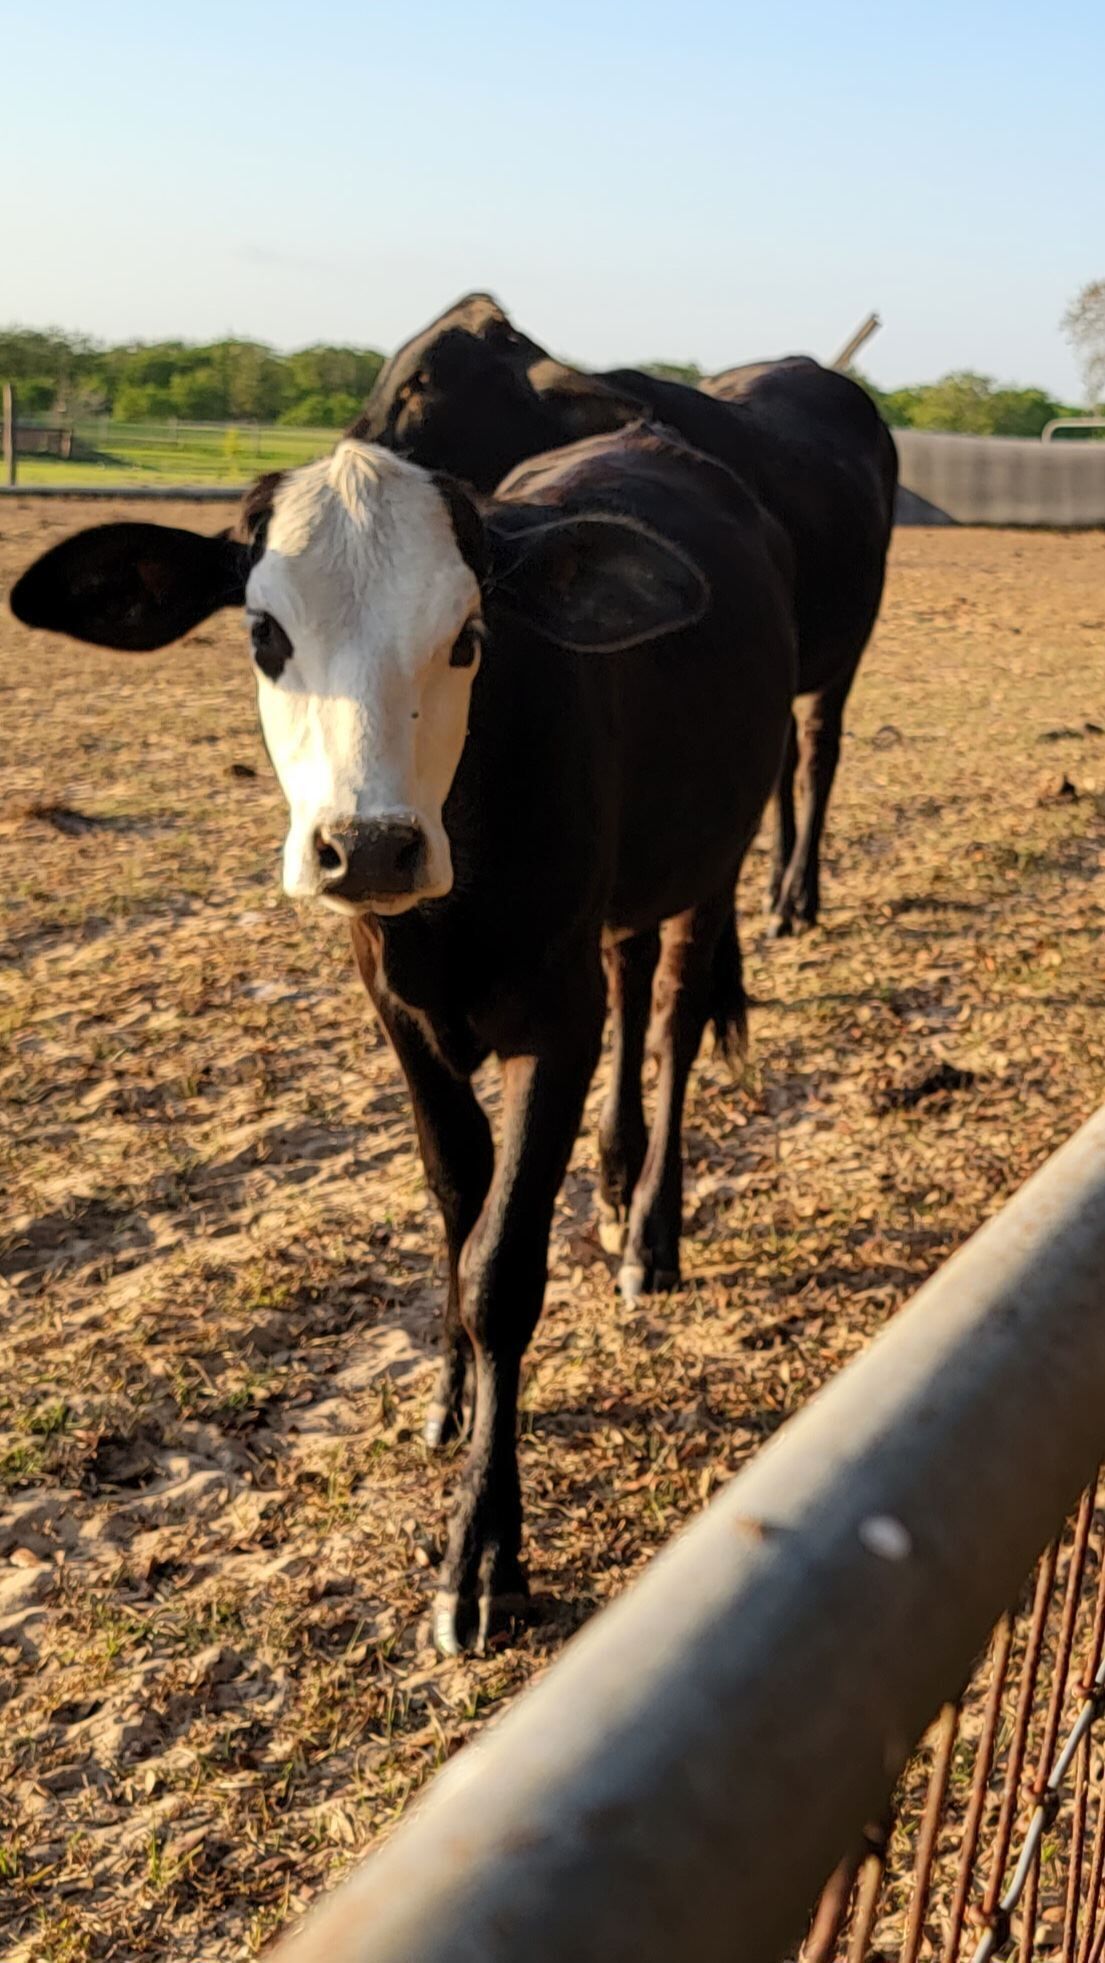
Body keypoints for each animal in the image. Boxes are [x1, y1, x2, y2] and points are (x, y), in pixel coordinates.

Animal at [12, 424, 796, 1651]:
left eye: (468, 635)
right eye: (265, 632)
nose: (369, 846)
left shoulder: (553, 1023)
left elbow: (502, 1268)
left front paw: (482, 1555)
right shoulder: (400, 1016)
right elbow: (455, 1200)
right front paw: (451, 1396)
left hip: (715, 858)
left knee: (670, 1010)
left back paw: (648, 1232)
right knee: (632, 988)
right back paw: (614, 1183)